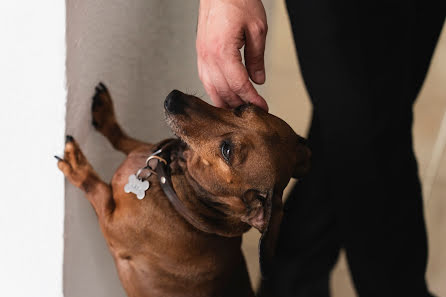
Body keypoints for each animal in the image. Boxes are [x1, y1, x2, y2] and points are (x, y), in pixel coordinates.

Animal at [56, 82, 310, 296]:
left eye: (227, 150)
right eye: (241, 107)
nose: (173, 98)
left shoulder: (110, 223)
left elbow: (96, 188)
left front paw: (77, 164)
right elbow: (123, 139)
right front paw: (106, 115)